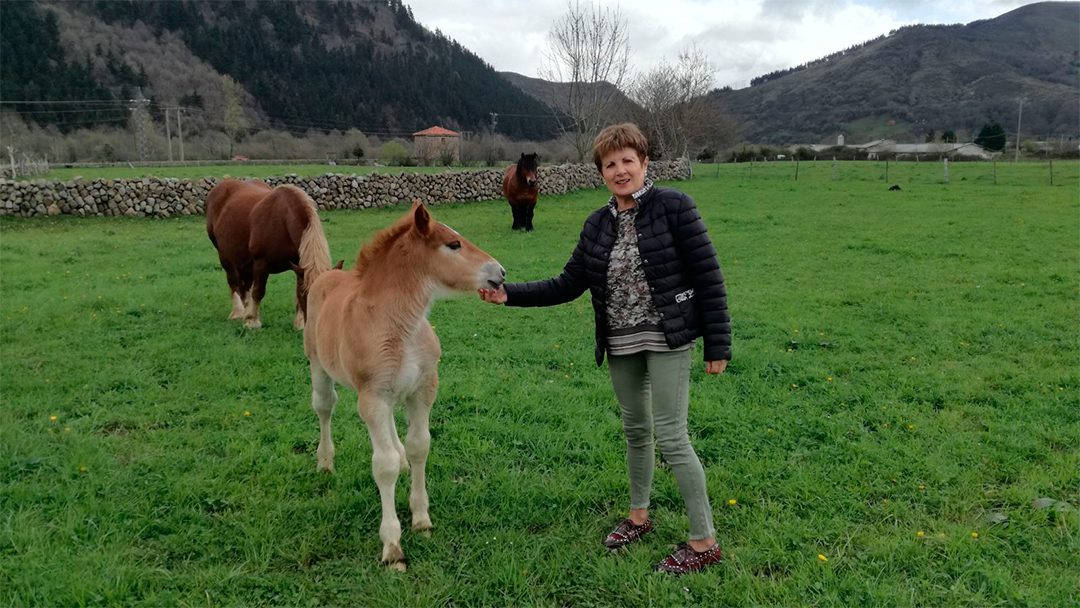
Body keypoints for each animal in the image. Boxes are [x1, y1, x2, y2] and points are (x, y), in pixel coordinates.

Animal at [204, 178, 330, 330]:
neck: (284, 220)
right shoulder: (261, 262)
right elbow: (258, 291)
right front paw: (252, 321)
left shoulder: (298, 265)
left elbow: (296, 292)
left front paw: (299, 323)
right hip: (225, 255)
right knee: (233, 281)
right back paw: (238, 312)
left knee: (245, 285)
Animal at [304, 201, 505, 570]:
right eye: (453, 245)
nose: (500, 272)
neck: (399, 325)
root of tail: (328, 273)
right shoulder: (372, 397)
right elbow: (381, 465)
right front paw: (392, 547)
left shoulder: (423, 389)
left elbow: (419, 446)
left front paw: (422, 519)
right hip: (320, 368)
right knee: (324, 407)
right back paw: (325, 462)